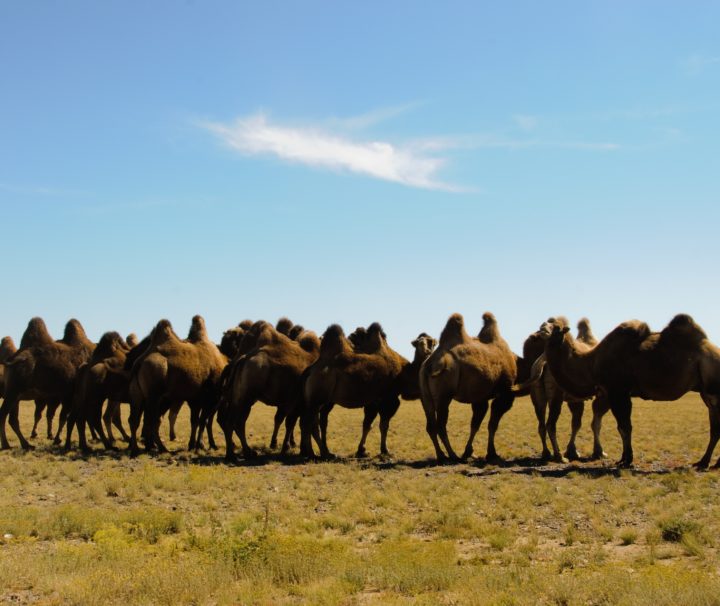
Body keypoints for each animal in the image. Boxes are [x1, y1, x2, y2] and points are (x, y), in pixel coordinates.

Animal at [0, 318, 94, 452]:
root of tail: (11, 360)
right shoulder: (72, 394)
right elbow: (73, 418)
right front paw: (65, 441)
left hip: (16, 395)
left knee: (13, 419)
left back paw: (26, 444)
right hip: (13, 391)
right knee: (3, 414)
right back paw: (7, 444)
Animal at [219, 324, 320, 460]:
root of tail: (243, 359)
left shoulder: (291, 403)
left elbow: (289, 421)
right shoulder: (295, 403)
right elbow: (292, 423)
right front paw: (287, 447)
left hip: (238, 399)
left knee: (231, 421)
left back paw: (235, 453)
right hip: (247, 398)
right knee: (236, 422)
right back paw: (243, 453)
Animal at [420, 314, 520, 466]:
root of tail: (429, 365)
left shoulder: (480, 397)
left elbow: (475, 424)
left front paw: (470, 452)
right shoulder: (504, 393)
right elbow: (492, 424)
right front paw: (491, 454)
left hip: (425, 397)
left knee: (431, 426)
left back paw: (441, 456)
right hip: (444, 395)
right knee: (441, 425)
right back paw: (452, 455)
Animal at [536, 316, 720, 468]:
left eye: (557, 327)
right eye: (544, 323)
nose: (542, 329)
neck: (591, 364)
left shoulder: (618, 392)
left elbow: (625, 427)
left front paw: (627, 460)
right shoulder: (613, 393)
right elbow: (621, 427)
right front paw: (623, 458)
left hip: (713, 390)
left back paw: (706, 463)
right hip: (706, 394)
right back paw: (705, 462)